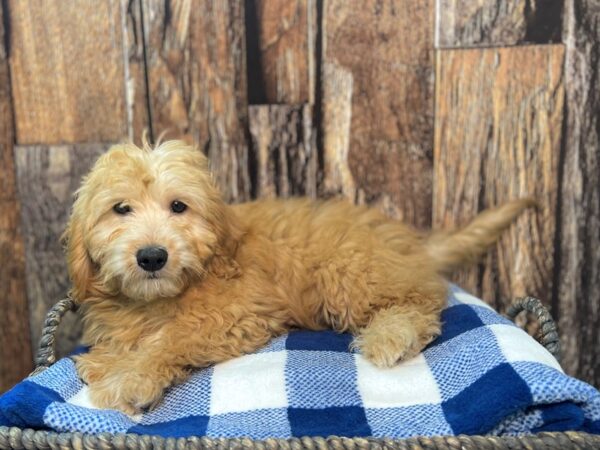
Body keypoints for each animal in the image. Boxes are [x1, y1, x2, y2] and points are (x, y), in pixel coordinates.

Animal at [65, 141, 536, 414]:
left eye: (178, 206)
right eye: (121, 209)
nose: (152, 256)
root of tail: (409, 241)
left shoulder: (237, 314)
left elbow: (172, 338)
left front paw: (130, 377)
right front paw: (109, 360)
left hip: (347, 271)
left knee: (419, 303)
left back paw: (390, 336)